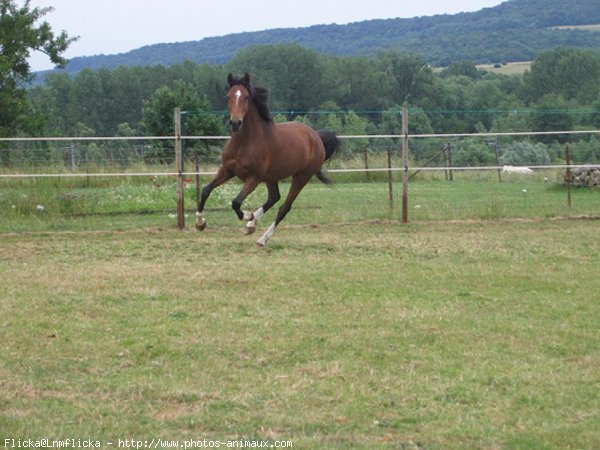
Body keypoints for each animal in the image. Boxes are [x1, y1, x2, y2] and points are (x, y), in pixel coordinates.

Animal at [195, 73, 340, 246]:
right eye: (228, 96)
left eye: (246, 97)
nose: (236, 123)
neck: (245, 142)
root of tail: (316, 137)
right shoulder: (227, 171)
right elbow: (206, 190)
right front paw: (200, 223)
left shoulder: (254, 178)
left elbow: (236, 202)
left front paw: (247, 215)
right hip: (272, 177)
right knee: (274, 197)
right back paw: (251, 226)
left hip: (301, 177)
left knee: (284, 207)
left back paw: (262, 238)